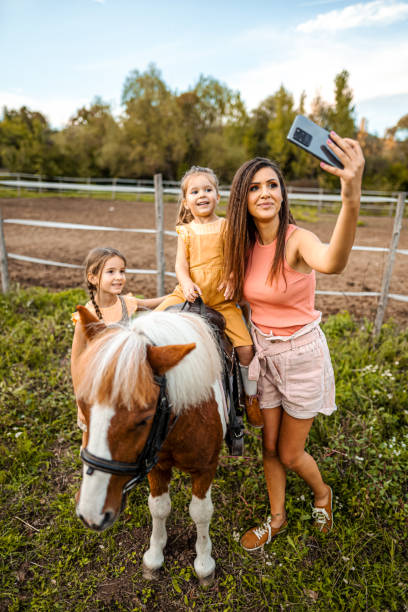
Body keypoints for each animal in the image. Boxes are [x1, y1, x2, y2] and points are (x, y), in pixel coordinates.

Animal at [72, 306, 226, 584]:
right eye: (83, 405)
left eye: (143, 419)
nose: (91, 514)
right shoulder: (156, 464)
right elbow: (159, 507)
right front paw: (155, 555)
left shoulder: (206, 468)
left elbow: (200, 511)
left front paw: (204, 562)